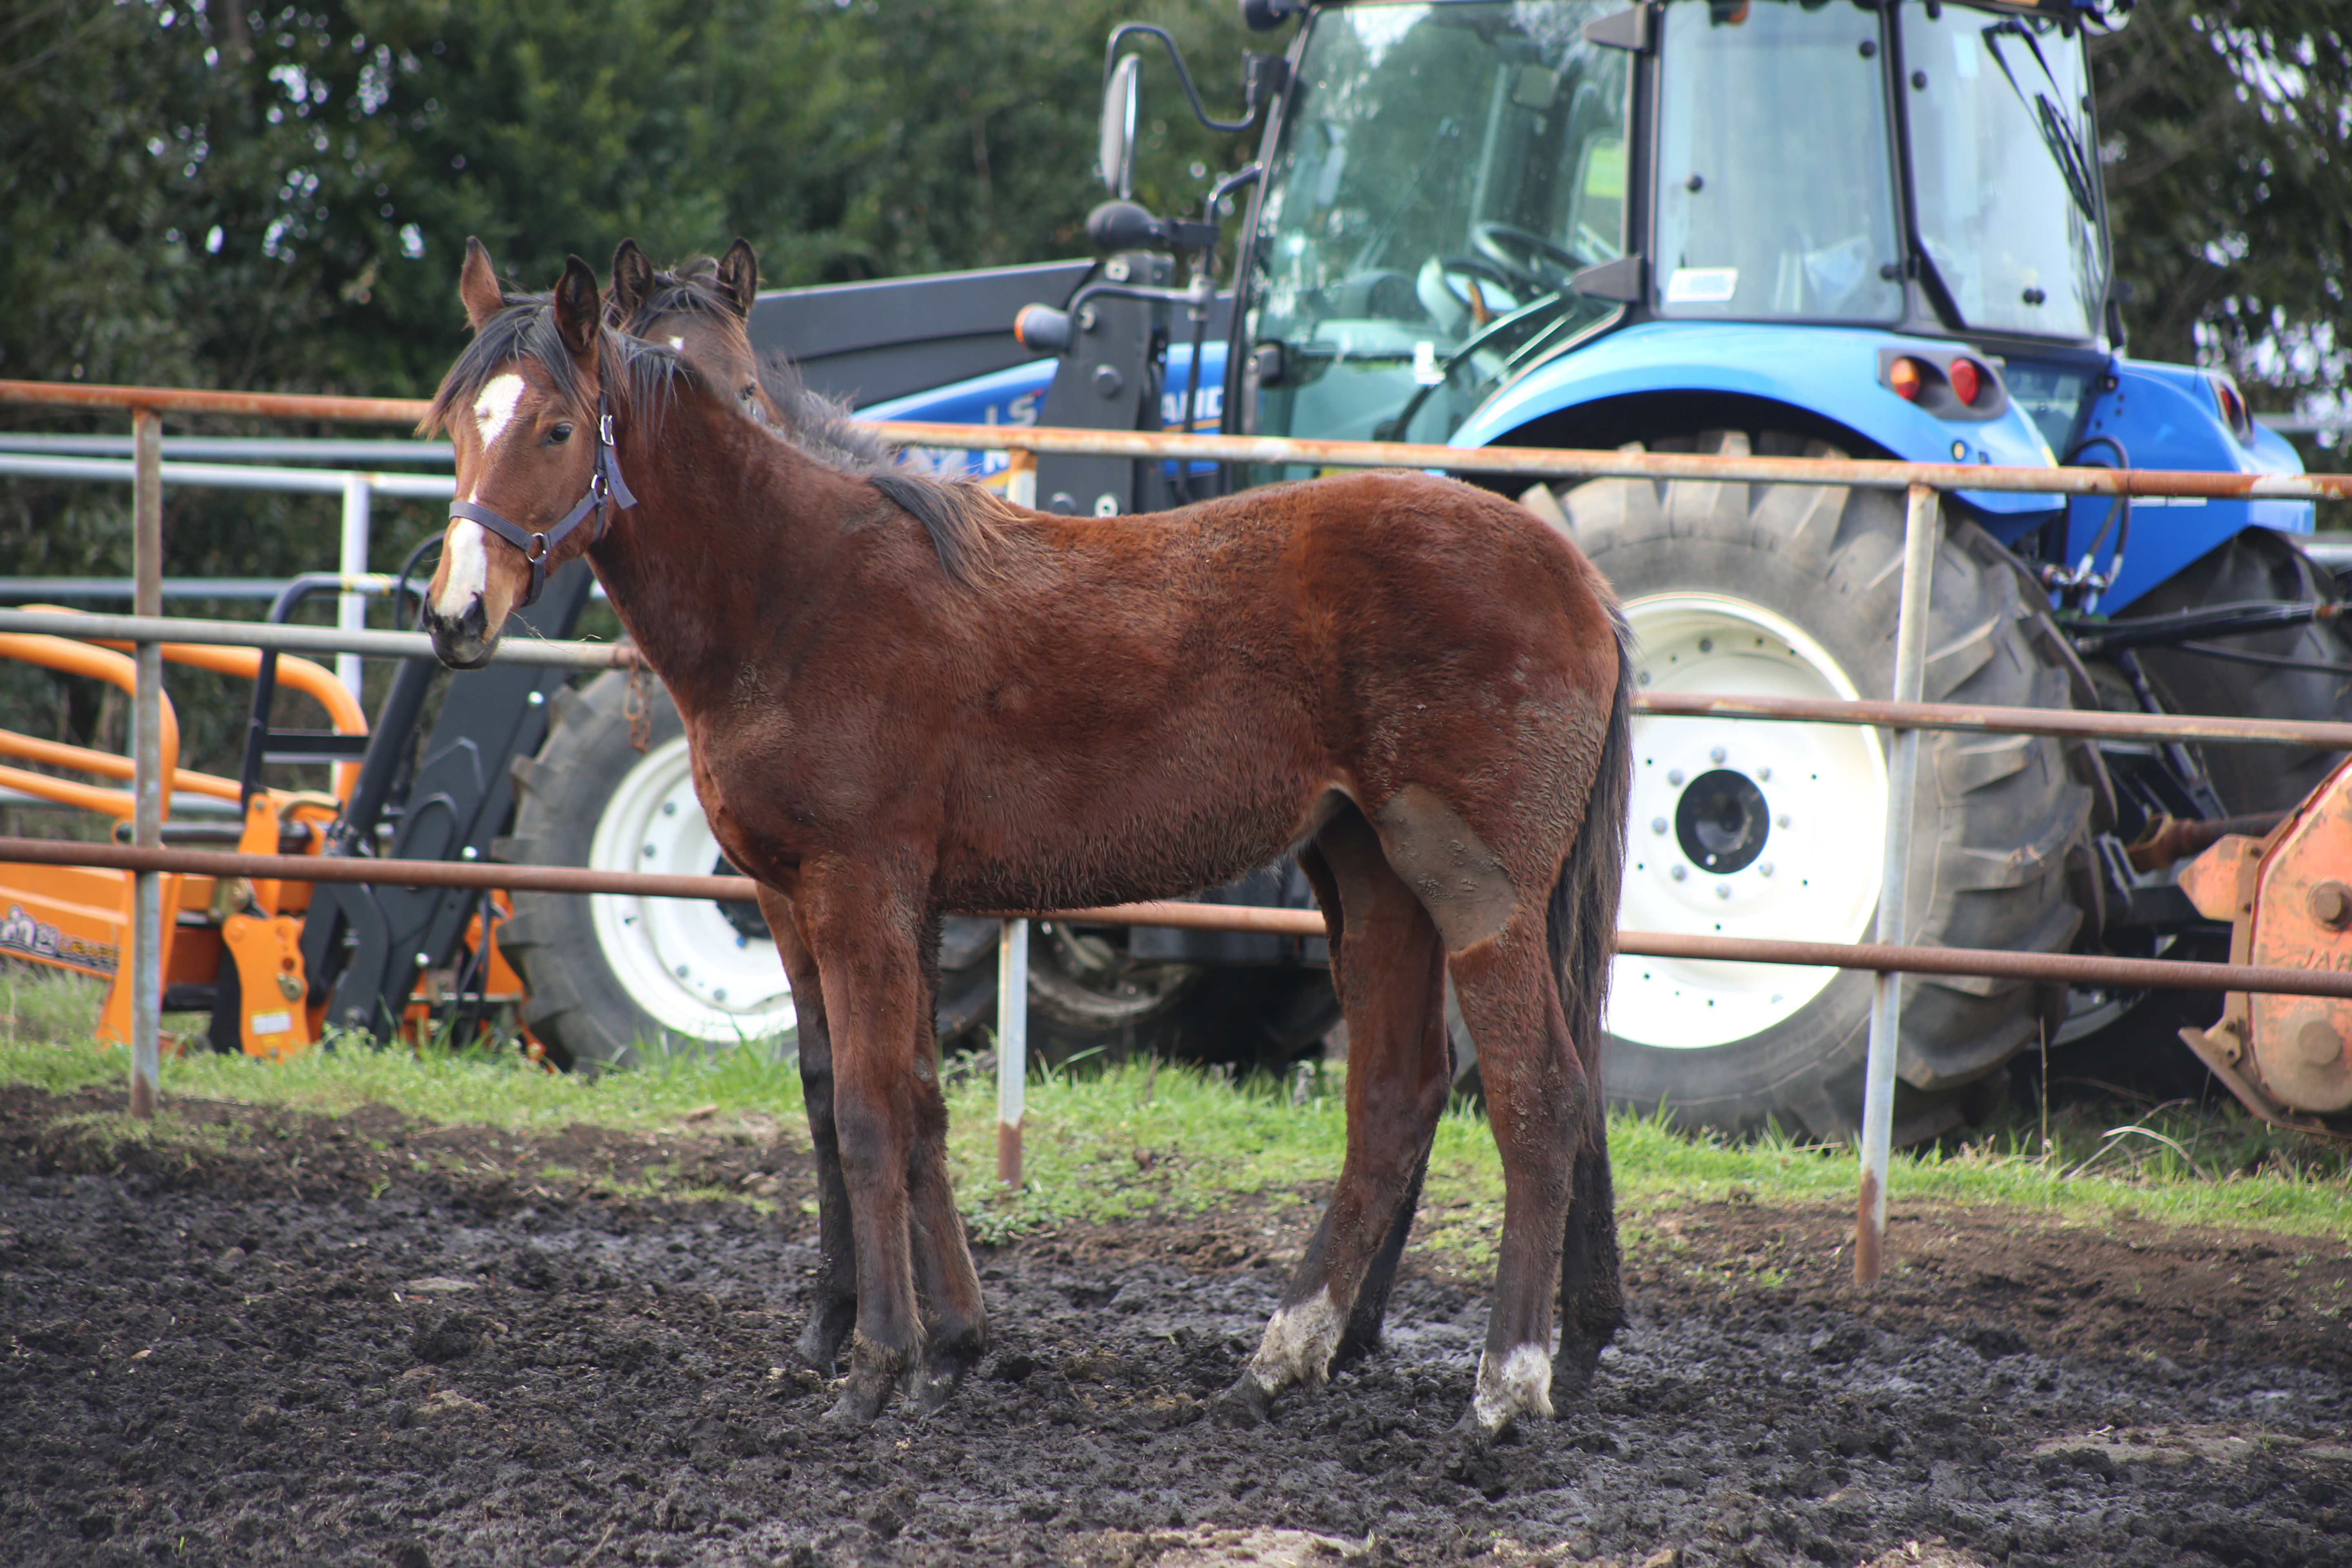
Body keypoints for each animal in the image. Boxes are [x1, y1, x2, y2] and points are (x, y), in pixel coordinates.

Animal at [423, 242, 1637, 1439]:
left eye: (555, 429)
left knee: (1538, 1094)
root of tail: (1578, 575)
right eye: (456, 429)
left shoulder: (859, 888)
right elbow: (901, 1103)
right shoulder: (828, 899)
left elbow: (867, 1112)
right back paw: (1281, 1361)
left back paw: (1506, 1384)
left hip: (1475, 888)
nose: (454, 615)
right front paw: (947, 1347)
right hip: (1371, 874)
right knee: (1394, 1099)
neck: (793, 593)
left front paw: (876, 1365)